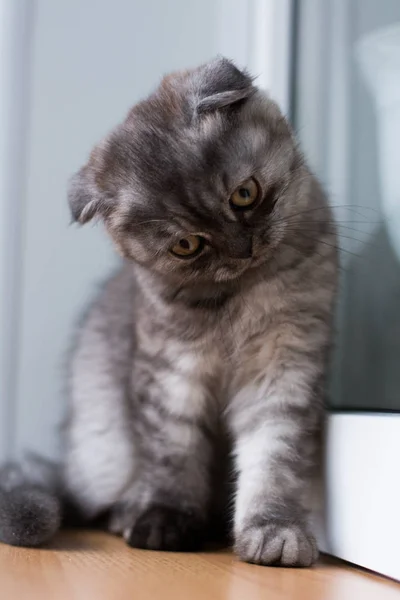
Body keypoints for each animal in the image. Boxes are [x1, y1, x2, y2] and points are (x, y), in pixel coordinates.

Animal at [0, 57, 338, 568]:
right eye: (186, 245)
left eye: (244, 194)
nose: (242, 249)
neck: (237, 298)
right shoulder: (171, 373)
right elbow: (172, 454)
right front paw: (163, 519)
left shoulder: (284, 369)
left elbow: (273, 458)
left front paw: (274, 531)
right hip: (104, 451)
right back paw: (127, 513)